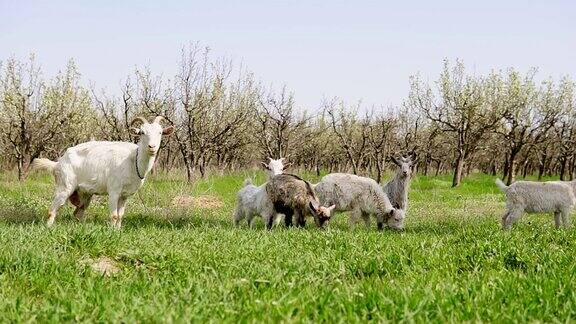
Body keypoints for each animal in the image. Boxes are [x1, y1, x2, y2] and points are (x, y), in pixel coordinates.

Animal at [31, 116, 173, 228]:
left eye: (160, 132)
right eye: (142, 132)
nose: (152, 147)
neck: (133, 160)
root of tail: (58, 163)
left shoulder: (125, 195)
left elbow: (120, 215)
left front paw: (118, 231)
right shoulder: (114, 191)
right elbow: (114, 215)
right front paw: (111, 232)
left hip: (84, 194)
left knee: (78, 213)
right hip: (65, 186)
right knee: (52, 210)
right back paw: (48, 227)